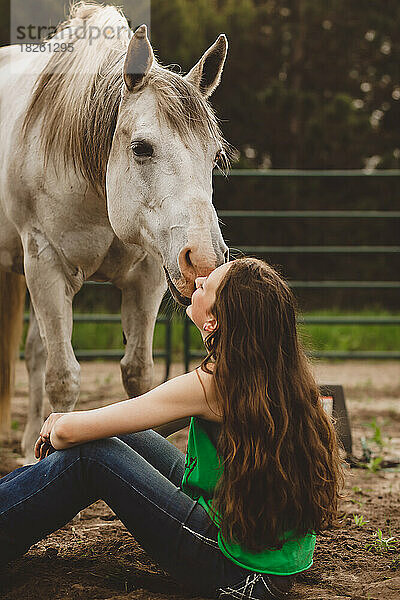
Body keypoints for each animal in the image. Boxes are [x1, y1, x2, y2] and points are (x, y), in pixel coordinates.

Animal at [0, 2, 230, 464]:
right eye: (141, 148)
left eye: (215, 156)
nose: (204, 261)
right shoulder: (45, 264)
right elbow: (63, 378)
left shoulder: (148, 276)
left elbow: (137, 375)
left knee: (34, 352)